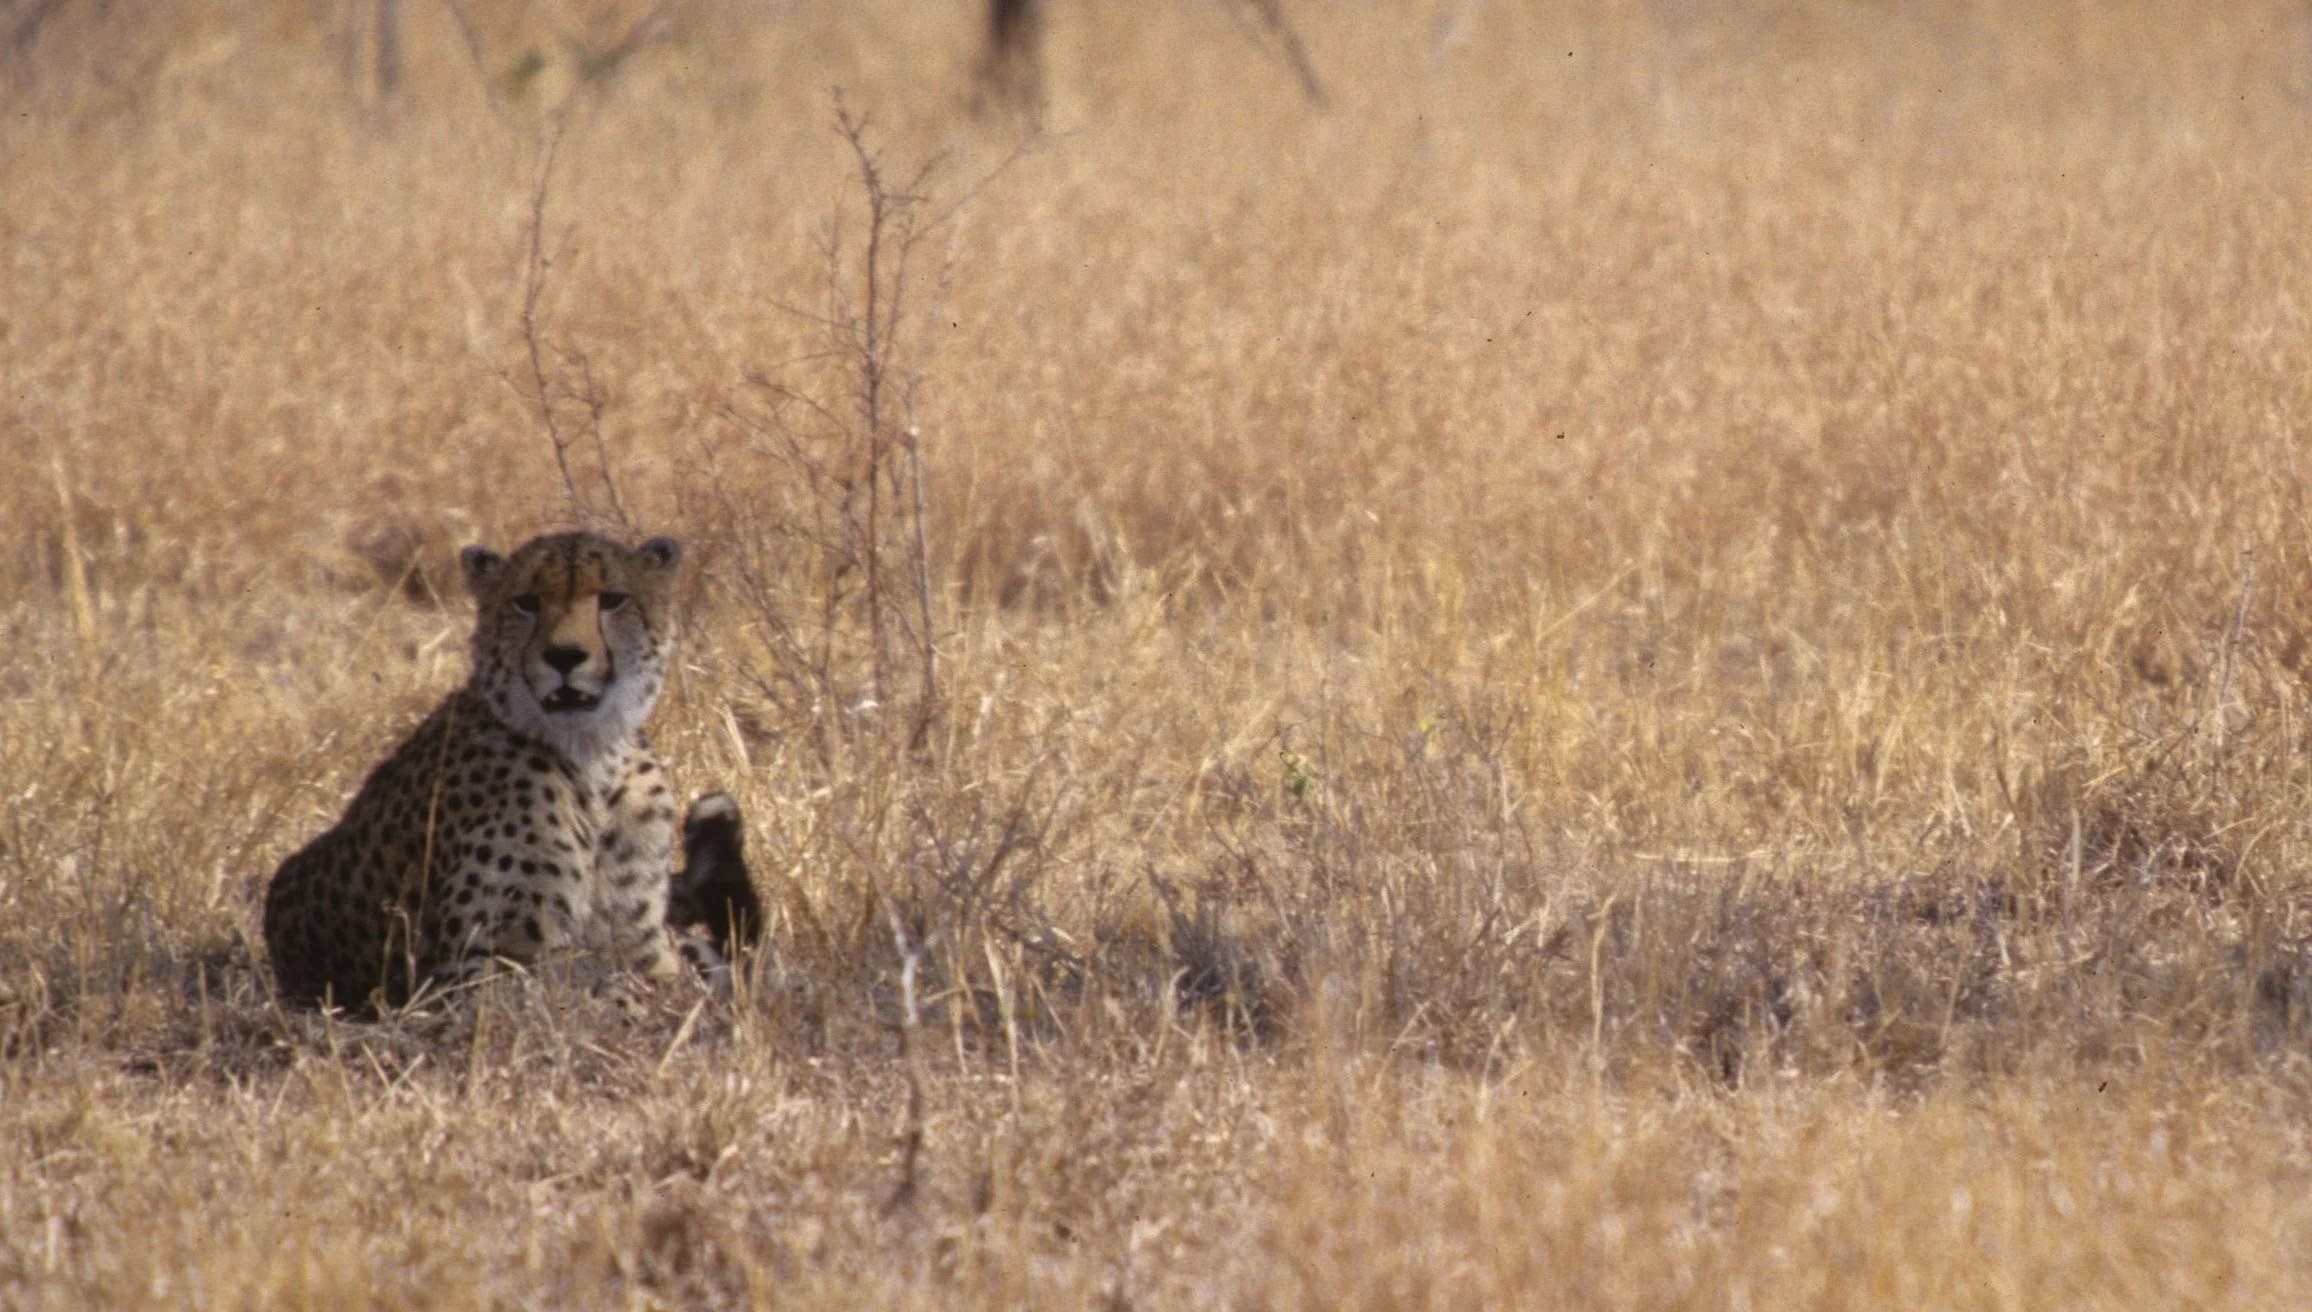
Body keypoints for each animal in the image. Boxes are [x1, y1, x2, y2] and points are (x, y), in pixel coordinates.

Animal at [263, 530, 712, 1012]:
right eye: (526, 602)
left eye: (613, 599)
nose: (564, 655)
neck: (590, 758)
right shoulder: (467, 976)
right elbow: (596, 999)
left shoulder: (643, 949)